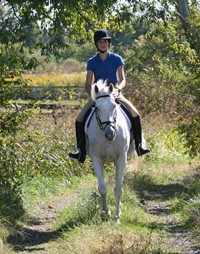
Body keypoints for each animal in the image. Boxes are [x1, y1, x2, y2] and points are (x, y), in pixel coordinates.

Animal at [86, 79, 144, 222]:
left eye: (114, 106)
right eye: (96, 108)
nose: (110, 134)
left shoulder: (121, 158)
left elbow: (118, 189)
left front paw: (117, 216)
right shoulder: (96, 159)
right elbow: (102, 188)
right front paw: (105, 213)